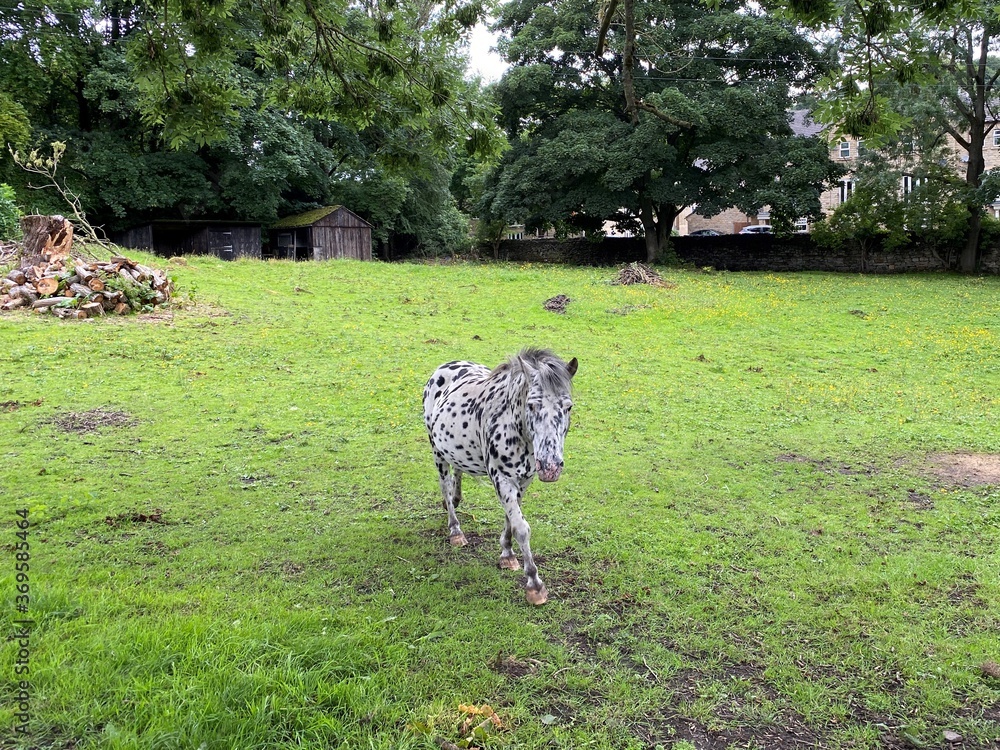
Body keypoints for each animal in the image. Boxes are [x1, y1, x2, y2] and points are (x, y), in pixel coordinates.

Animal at [422, 348, 578, 605]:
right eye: (532, 405)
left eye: (568, 407)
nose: (550, 467)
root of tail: (445, 366)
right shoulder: (501, 478)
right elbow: (521, 527)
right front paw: (534, 585)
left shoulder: (523, 481)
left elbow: (511, 521)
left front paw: (507, 554)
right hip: (437, 450)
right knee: (444, 484)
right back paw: (455, 530)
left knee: (457, 471)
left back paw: (455, 501)